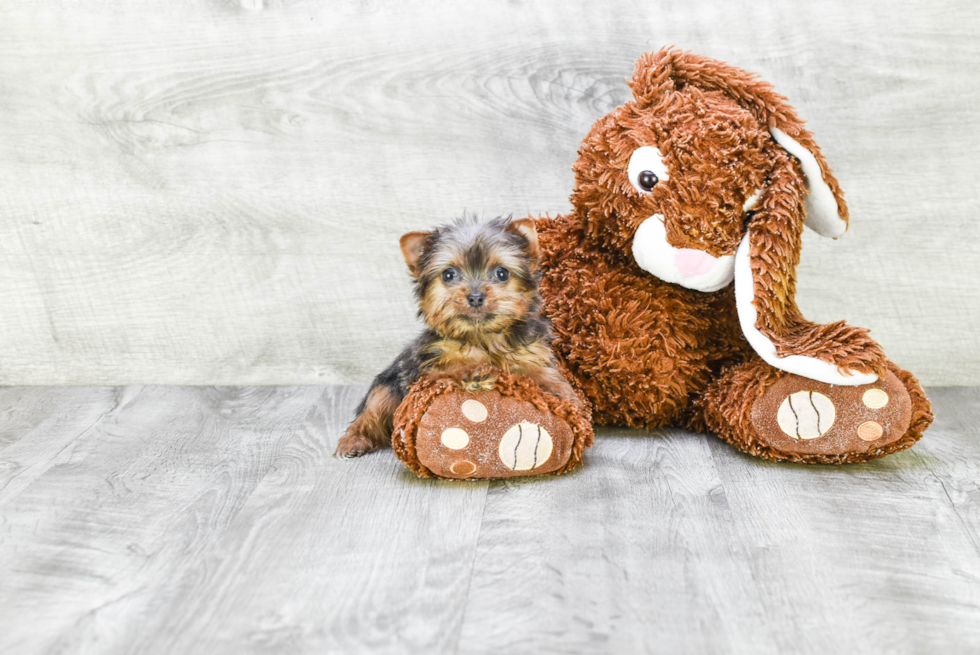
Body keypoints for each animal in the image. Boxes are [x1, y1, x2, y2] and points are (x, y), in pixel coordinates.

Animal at [336, 215, 580, 456]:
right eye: (449, 274)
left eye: (502, 273)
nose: (475, 296)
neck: (483, 337)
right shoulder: (427, 367)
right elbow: (452, 366)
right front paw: (474, 371)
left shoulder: (529, 351)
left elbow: (535, 370)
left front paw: (559, 389)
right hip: (387, 385)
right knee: (372, 410)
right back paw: (353, 440)